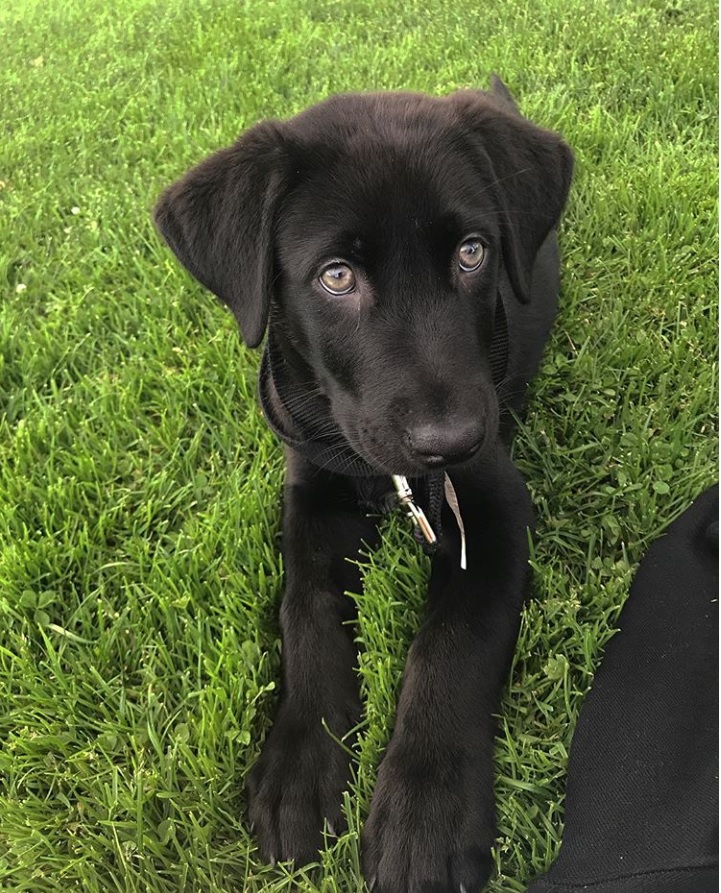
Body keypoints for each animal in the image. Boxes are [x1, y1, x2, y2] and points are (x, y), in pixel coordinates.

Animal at [155, 78, 572, 892]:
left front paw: (426, 816)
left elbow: (452, 642)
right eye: (336, 277)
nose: (449, 442)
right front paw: (300, 768)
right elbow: (307, 610)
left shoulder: (495, 508)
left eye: (472, 253)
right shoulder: (311, 490)